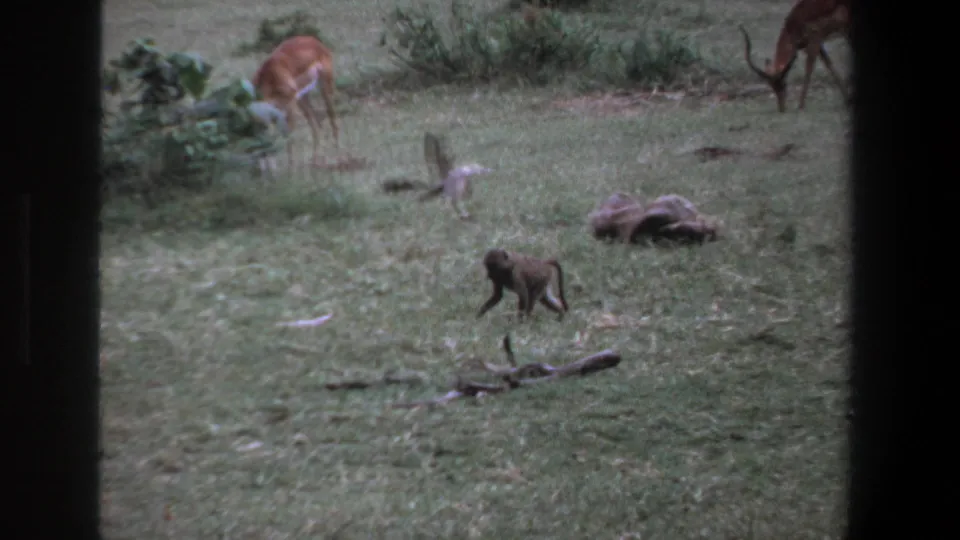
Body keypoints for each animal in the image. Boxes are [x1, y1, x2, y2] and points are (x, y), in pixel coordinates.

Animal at [251, 35, 339, 170]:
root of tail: (313, 40)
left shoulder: (289, 105)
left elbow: (289, 137)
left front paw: (291, 169)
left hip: (325, 88)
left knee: (332, 119)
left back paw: (340, 154)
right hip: (303, 98)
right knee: (316, 125)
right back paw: (316, 161)